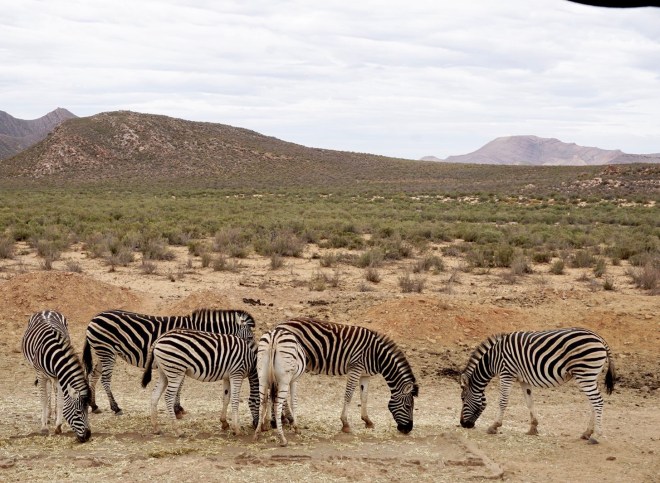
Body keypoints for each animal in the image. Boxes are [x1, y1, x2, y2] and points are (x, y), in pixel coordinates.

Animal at [21, 310, 91, 443]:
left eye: (87, 410)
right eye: (78, 412)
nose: (88, 436)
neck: (53, 353)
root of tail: (46, 310)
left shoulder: (59, 376)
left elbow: (60, 401)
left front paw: (58, 425)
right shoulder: (40, 374)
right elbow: (43, 399)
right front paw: (44, 427)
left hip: (53, 376)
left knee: (52, 388)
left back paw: (52, 415)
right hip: (39, 372)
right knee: (47, 390)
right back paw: (47, 416)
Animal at [82, 308, 255, 415]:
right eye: (250, 338)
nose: (254, 355)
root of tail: (93, 319)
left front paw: (177, 406)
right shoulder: (182, 359)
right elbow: (180, 385)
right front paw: (177, 407)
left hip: (102, 352)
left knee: (93, 375)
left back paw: (94, 405)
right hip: (106, 351)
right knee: (105, 379)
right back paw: (115, 407)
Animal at [274, 317, 419, 434]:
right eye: (408, 406)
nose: (408, 429)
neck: (377, 355)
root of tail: (279, 325)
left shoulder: (365, 374)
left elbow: (364, 397)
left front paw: (367, 421)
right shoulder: (355, 368)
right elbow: (349, 395)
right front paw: (345, 423)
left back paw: (282, 419)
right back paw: (286, 419)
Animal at [459, 327, 616, 444]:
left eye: (462, 399)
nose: (463, 424)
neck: (492, 359)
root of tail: (599, 338)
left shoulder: (507, 373)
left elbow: (502, 401)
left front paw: (494, 426)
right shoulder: (523, 379)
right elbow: (529, 402)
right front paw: (533, 428)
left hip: (585, 374)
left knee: (598, 401)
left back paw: (597, 435)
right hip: (590, 376)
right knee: (593, 403)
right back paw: (587, 433)